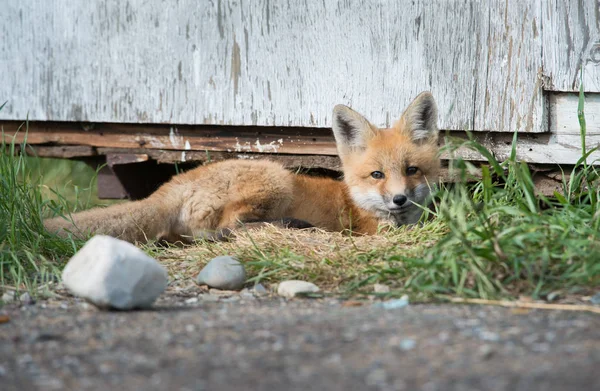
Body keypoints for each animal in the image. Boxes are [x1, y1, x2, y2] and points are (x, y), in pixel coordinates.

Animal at [44, 93, 440, 243]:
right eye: (377, 175)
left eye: (412, 170)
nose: (400, 199)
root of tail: (171, 186)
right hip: (276, 178)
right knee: (226, 229)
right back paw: (293, 226)